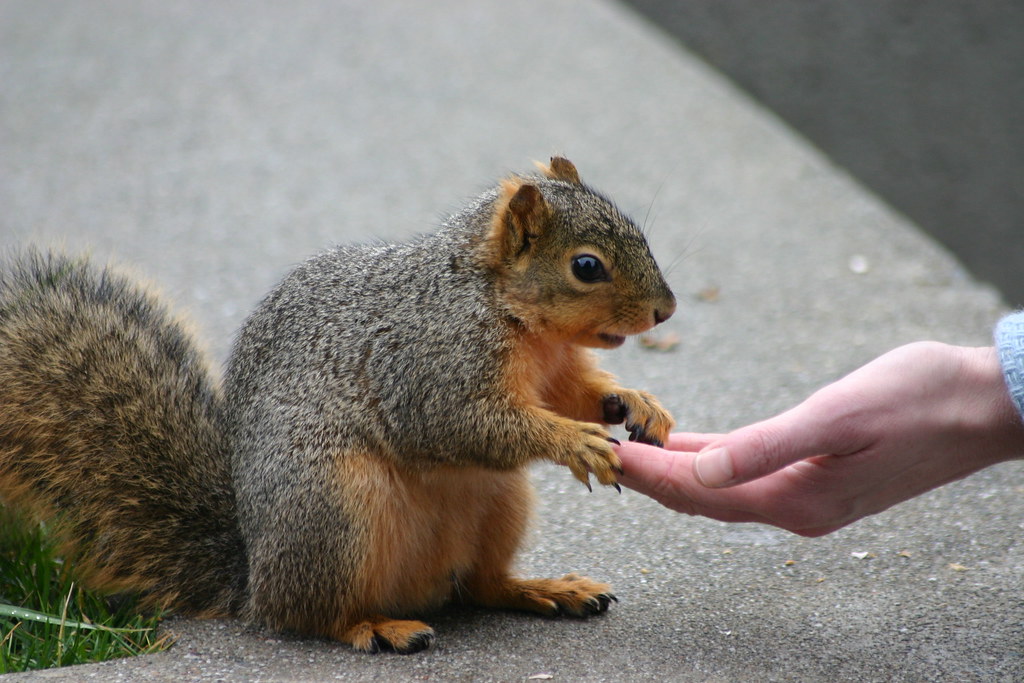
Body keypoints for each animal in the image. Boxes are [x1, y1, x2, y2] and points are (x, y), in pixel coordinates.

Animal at [0, 157, 675, 655]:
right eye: (586, 266)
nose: (665, 311)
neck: (501, 305)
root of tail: (253, 582)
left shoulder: (555, 371)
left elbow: (572, 396)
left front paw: (636, 402)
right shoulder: (429, 365)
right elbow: (463, 423)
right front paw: (576, 440)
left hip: (498, 505)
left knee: (480, 586)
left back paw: (542, 589)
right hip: (335, 510)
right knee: (311, 616)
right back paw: (374, 627)